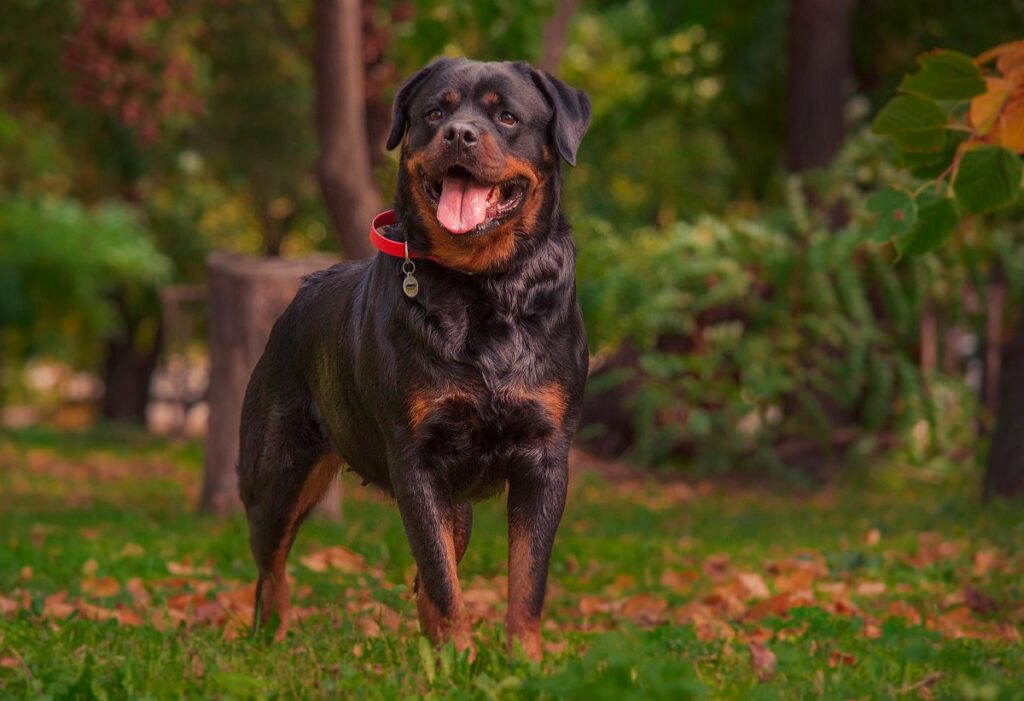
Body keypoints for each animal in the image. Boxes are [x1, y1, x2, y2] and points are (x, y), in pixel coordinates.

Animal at [238, 57, 589, 659]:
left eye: (507, 116)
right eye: (434, 113)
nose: (460, 134)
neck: (482, 288)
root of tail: (300, 292)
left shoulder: (545, 457)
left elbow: (524, 579)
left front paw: (524, 661)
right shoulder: (416, 461)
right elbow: (445, 585)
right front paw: (457, 661)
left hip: (456, 504)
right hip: (276, 473)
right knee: (271, 567)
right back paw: (271, 638)